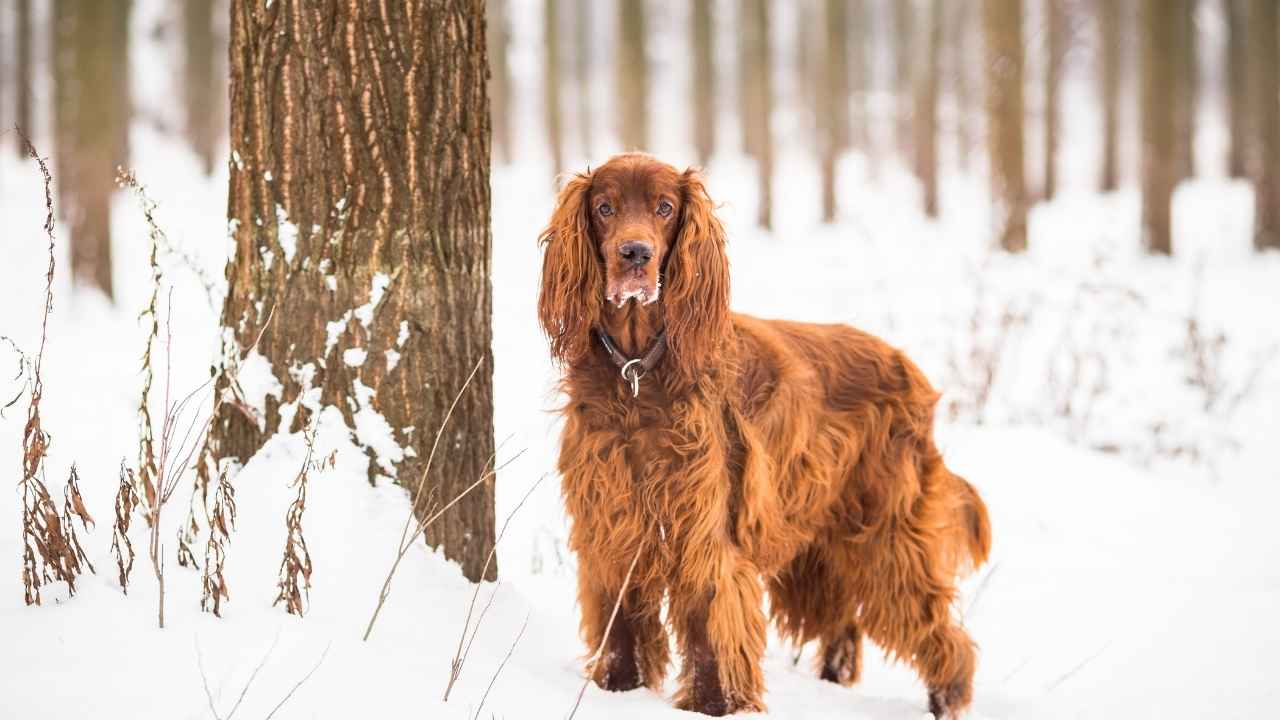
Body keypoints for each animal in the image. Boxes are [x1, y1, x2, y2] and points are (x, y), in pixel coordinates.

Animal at [535, 154, 993, 712]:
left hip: (887, 533)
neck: (638, 370)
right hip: (819, 548)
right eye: (605, 207)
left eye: (665, 208)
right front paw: (618, 691)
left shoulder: (703, 529)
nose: (635, 253)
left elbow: (711, 627)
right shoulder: (611, 518)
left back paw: (945, 699)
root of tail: (910, 369)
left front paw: (715, 706)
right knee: (843, 626)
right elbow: (618, 624)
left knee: (938, 630)